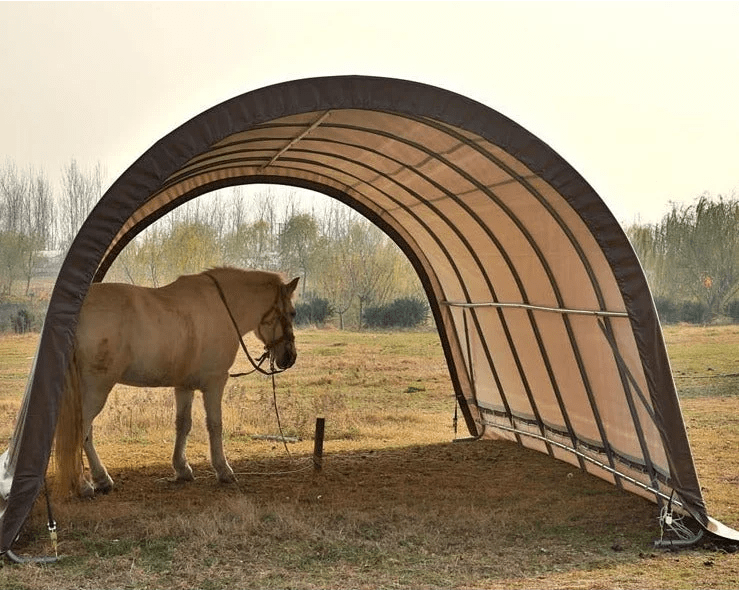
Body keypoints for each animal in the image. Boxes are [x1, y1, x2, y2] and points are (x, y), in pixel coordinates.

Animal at [53, 268, 300, 494]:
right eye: (293, 312)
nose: (290, 357)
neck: (222, 306)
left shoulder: (184, 386)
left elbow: (183, 424)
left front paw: (182, 469)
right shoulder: (215, 382)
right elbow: (215, 425)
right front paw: (223, 470)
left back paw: (101, 479)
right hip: (97, 388)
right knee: (80, 429)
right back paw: (84, 485)